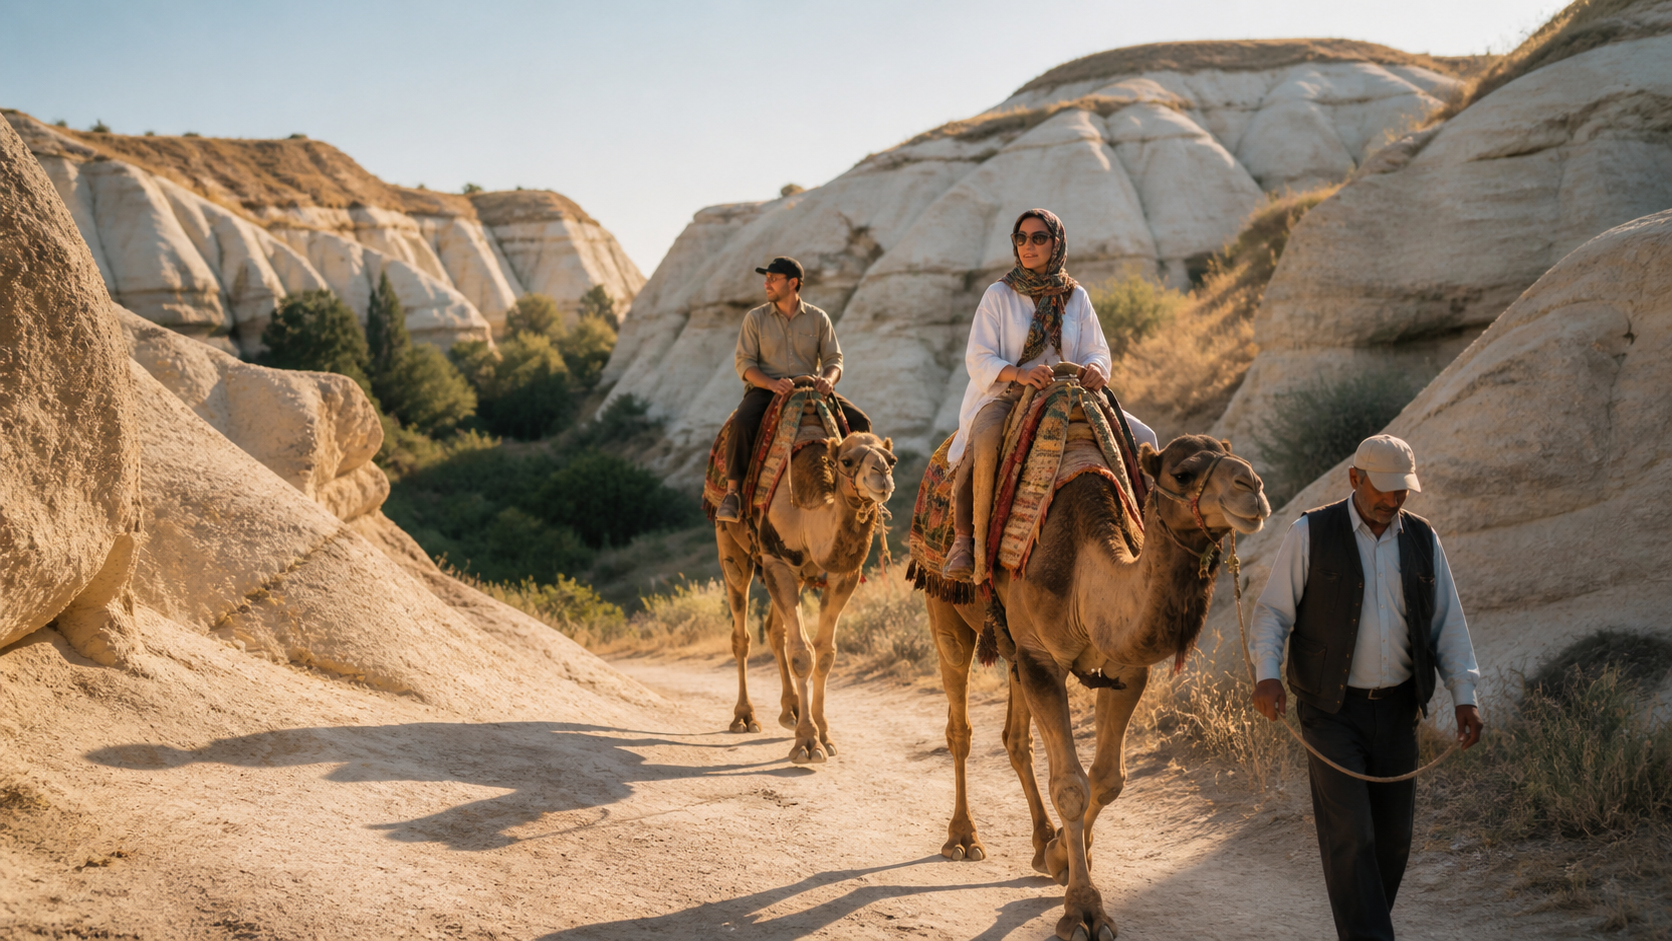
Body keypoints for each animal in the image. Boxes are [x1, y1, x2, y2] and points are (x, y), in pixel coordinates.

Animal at [715, 399, 896, 764]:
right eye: (846, 460)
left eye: (892, 458)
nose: (882, 474)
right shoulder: (776, 562)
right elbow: (802, 653)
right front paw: (806, 744)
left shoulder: (842, 575)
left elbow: (825, 653)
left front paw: (824, 734)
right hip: (730, 545)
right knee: (742, 633)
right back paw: (745, 717)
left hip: (797, 577)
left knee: (775, 630)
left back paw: (791, 710)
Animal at [926, 432, 1269, 941]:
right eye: (1182, 473)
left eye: (1233, 455)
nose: (1253, 488)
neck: (1085, 576)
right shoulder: (1042, 658)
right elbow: (1071, 785)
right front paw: (1083, 910)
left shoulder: (1123, 669)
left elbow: (1108, 780)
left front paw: (1063, 856)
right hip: (947, 609)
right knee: (960, 728)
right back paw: (963, 838)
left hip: (1012, 649)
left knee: (1015, 739)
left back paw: (1039, 841)